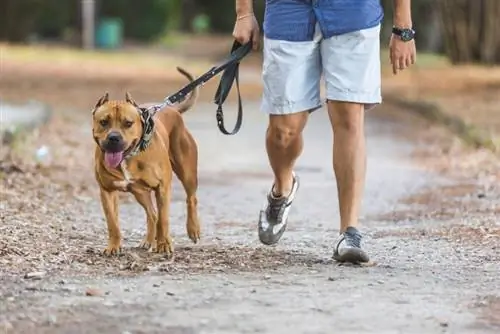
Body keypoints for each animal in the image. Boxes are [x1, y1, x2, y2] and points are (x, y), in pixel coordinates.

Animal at [91, 66, 200, 258]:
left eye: (128, 123)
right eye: (103, 122)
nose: (113, 138)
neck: (128, 158)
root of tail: (173, 109)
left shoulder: (162, 187)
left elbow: (164, 219)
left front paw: (164, 245)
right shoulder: (107, 191)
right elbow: (113, 223)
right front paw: (113, 246)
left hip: (187, 173)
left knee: (190, 199)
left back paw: (193, 229)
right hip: (139, 191)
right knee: (152, 214)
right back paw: (149, 240)